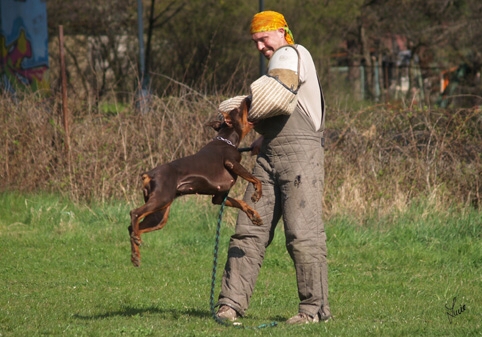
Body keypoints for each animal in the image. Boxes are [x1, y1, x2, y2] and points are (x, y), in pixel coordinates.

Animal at [128, 98, 262, 266]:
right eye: (238, 110)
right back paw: (136, 242)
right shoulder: (232, 163)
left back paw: (135, 254)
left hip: (160, 215)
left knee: (132, 228)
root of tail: (148, 175)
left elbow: (241, 202)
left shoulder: (218, 198)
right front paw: (257, 193)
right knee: (134, 213)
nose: (247, 99)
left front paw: (254, 215)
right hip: (161, 199)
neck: (227, 141)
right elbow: (255, 178)